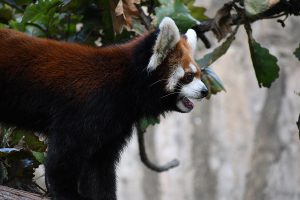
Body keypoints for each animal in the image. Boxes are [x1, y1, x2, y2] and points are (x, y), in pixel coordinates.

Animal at [0, 17, 207, 200]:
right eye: (189, 76)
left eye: (199, 74)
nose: (205, 91)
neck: (127, 82)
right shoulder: (85, 110)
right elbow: (62, 158)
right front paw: (67, 194)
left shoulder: (113, 126)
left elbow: (99, 167)